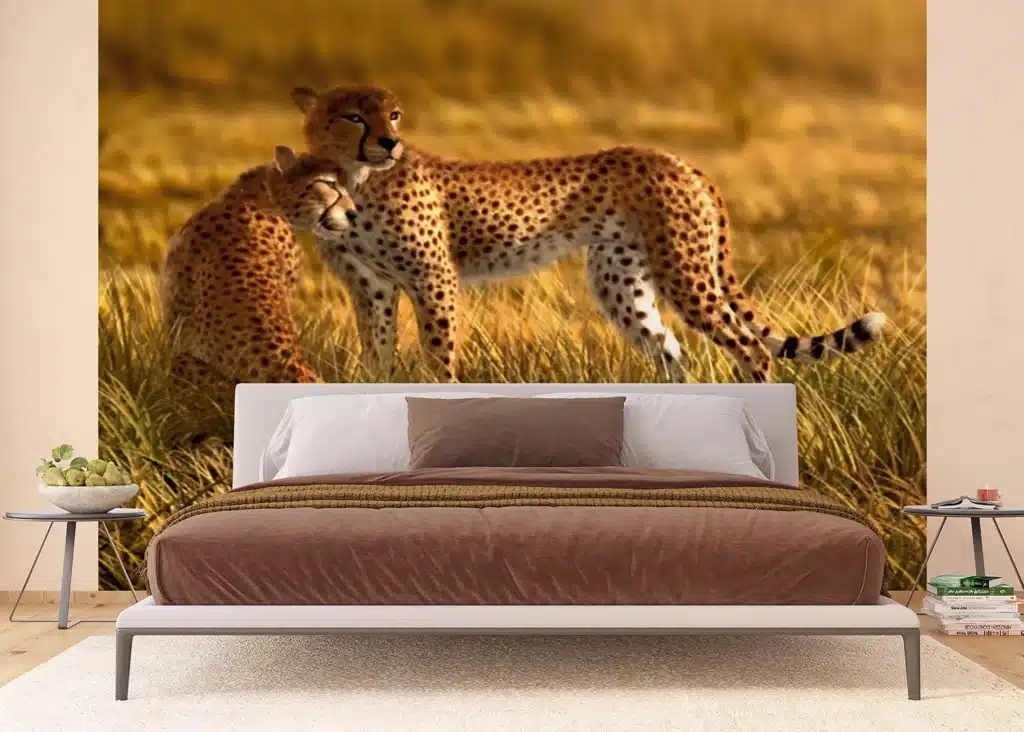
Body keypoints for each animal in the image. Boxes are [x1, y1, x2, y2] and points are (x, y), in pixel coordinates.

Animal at [291, 84, 886, 383]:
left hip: (685, 274)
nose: (389, 142)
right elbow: (377, 353)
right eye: (352, 115)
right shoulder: (371, 286)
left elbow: (438, 357)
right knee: (670, 350)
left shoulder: (434, 278)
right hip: (621, 282)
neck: (358, 178)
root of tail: (678, 158)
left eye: (393, 113)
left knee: (749, 348)